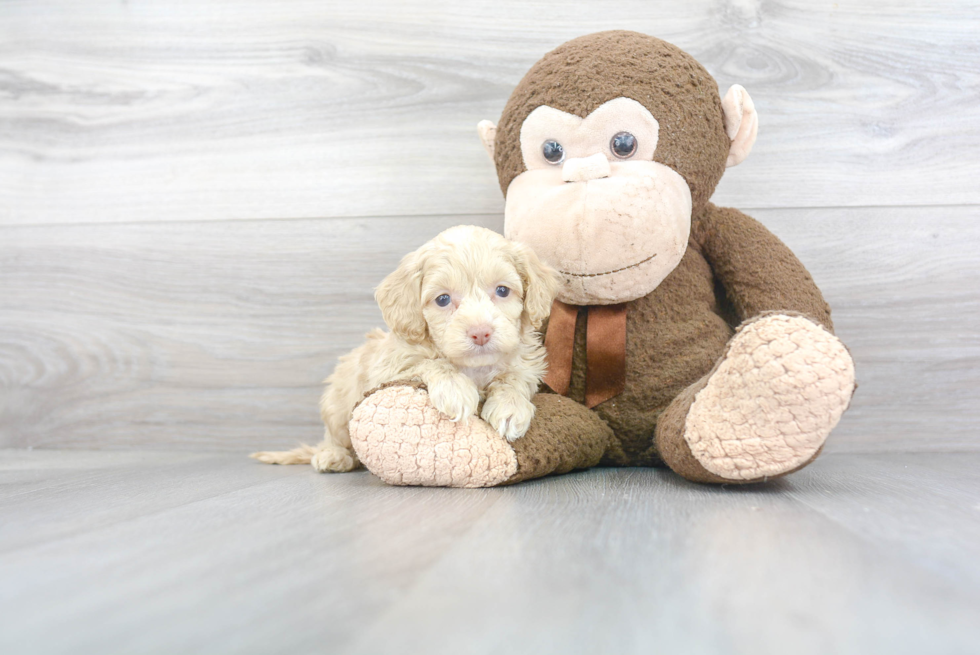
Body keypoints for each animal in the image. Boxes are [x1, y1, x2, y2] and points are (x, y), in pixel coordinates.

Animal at [251, 224, 560, 472]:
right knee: (335, 437)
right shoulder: (390, 367)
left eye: (503, 291)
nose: (480, 333)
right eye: (443, 299)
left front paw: (510, 407)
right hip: (338, 404)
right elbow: (430, 362)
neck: (474, 368)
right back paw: (333, 456)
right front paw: (456, 389)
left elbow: (514, 378)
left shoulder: (526, 363)